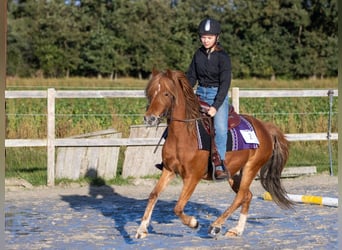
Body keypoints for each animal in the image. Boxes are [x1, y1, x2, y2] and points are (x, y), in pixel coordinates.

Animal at [135, 70, 292, 238]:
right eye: (150, 92)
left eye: (166, 93)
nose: (149, 118)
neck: (184, 135)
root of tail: (265, 127)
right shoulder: (168, 170)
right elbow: (153, 195)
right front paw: (141, 229)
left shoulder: (192, 177)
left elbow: (178, 207)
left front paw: (193, 222)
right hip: (233, 173)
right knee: (247, 195)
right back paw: (237, 229)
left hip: (251, 168)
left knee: (241, 196)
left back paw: (216, 225)